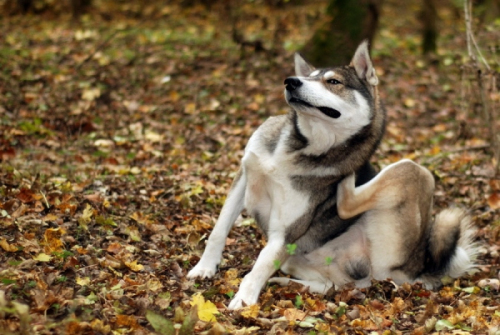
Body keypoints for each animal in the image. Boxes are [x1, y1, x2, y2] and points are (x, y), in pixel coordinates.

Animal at [187, 41, 476, 310]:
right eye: (308, 77)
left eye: (333, 82)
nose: (291, 81)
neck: (299, 147)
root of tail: (417, 266)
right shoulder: (244, 176)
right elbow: (219, 230)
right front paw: (205, 268)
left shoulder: (285, 233)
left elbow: (260, 265)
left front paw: (245, 299)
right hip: (305, 262)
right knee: (334, 285)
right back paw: (288, 283)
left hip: (414, 171)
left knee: (349, 204)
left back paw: (348, 180)